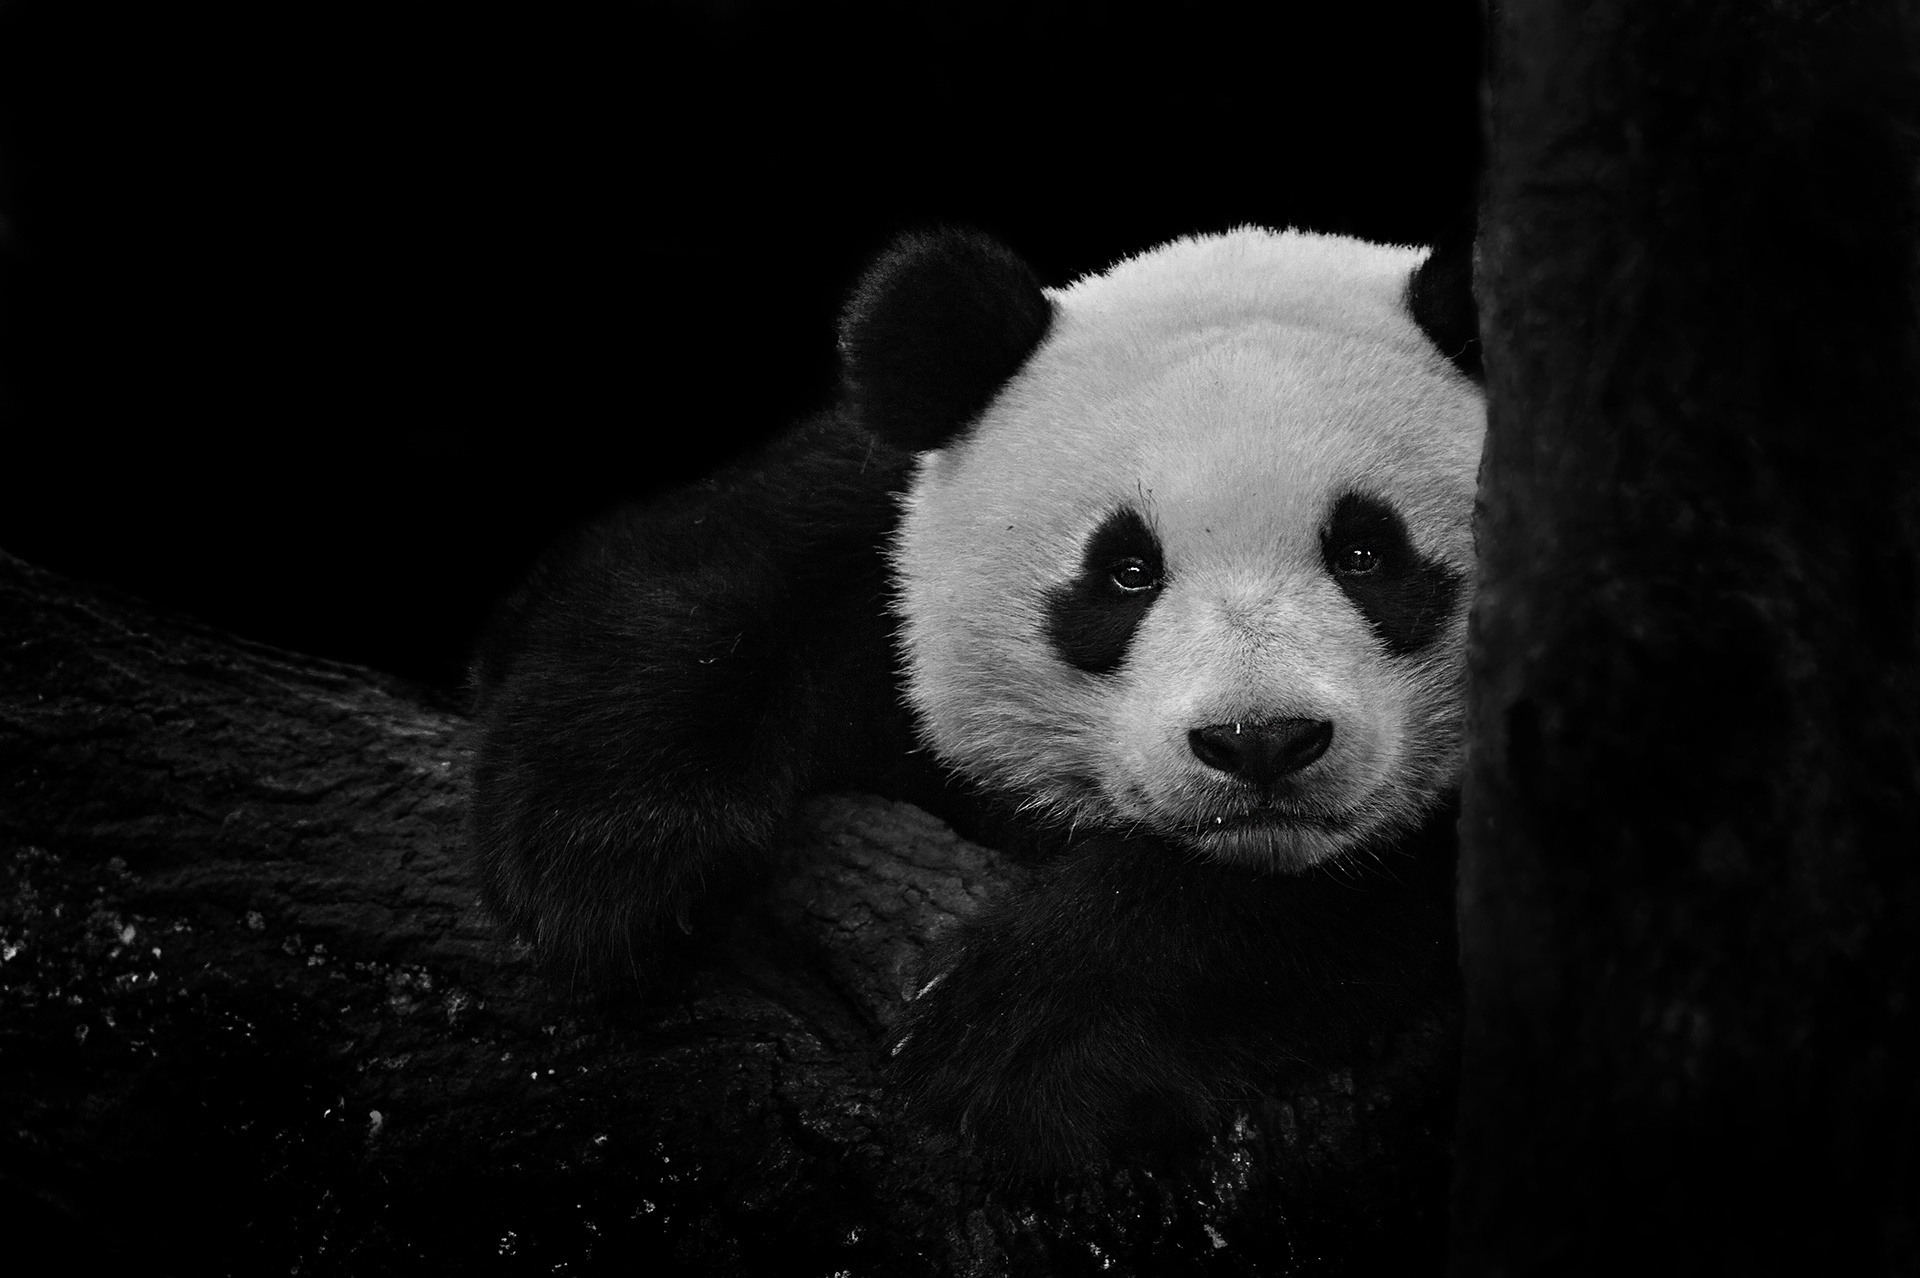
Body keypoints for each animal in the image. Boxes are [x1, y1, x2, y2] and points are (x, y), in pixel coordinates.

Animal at [470, 224, 1485, 1174]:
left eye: (1367, 554)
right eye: (1125, 572)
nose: (1261, 741)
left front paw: (1024, 1036)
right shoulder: (871, 518)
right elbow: (707, 565)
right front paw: (609, 866)